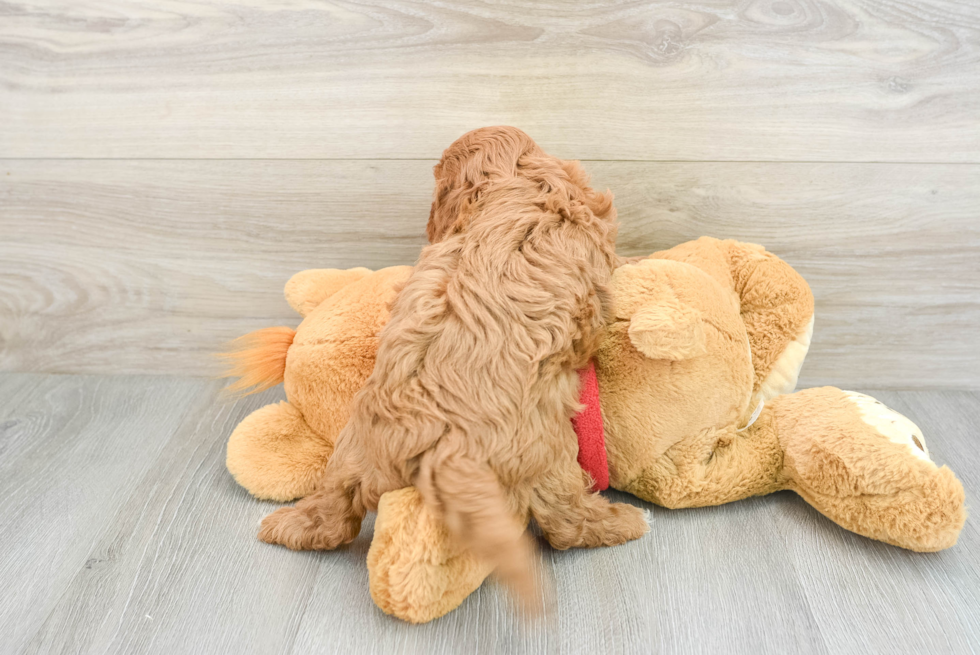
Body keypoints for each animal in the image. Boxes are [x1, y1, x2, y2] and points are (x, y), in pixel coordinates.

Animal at [258, 127, 652, 608]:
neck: (511, 178)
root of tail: (429, 445)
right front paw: (637, 261)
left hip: (350, 452)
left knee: (330, 512)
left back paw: (287, 527)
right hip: (548, 457)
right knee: (565, 524)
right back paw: (624, 522)